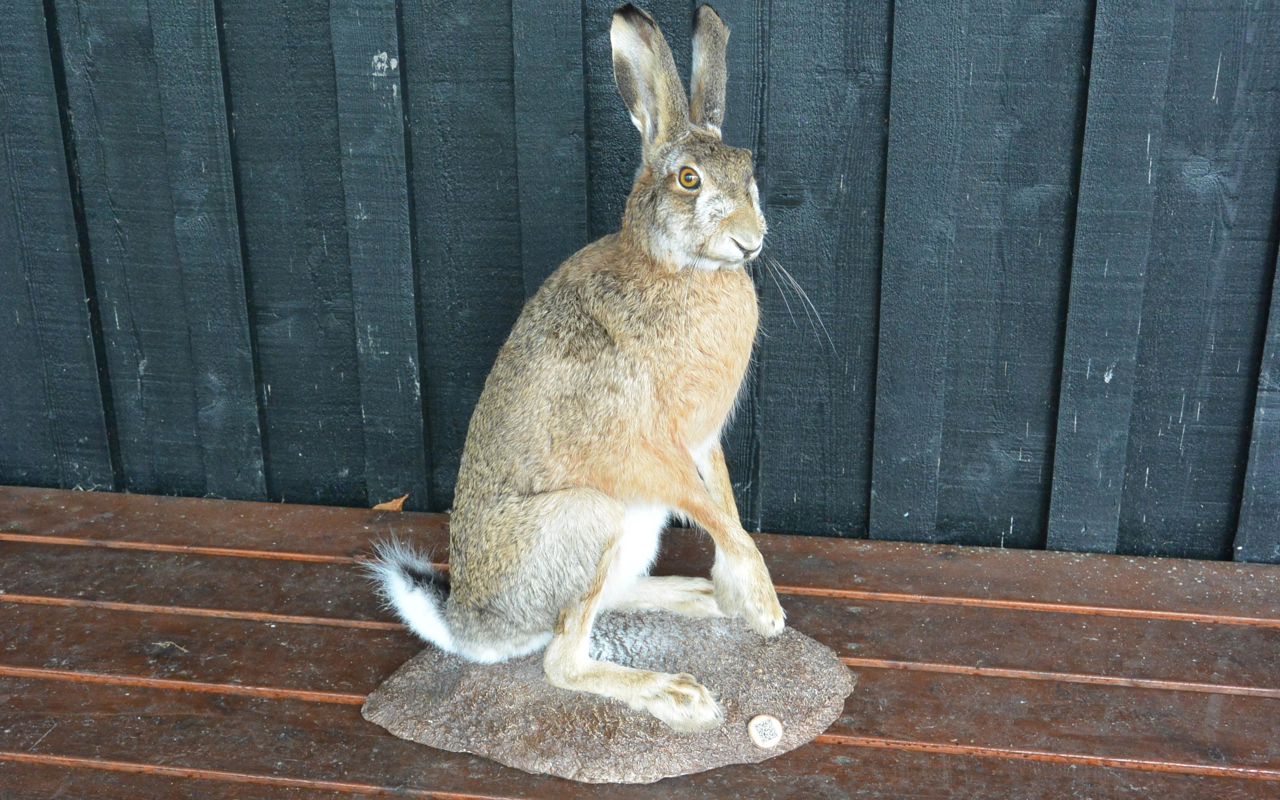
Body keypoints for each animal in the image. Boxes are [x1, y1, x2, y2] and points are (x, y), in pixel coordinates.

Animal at [368, 3, 784, 733]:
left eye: (747, 169)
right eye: (689, 180)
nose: (749, 240)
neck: (681, 271)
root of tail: (472, 628)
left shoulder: (704, 441)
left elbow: (726, 506)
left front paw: (743, 598)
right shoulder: (650, 446)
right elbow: (716, 514)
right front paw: (762, 609)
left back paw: (694, 596)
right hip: (591, 519)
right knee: (561, 660)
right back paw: (675, 694)